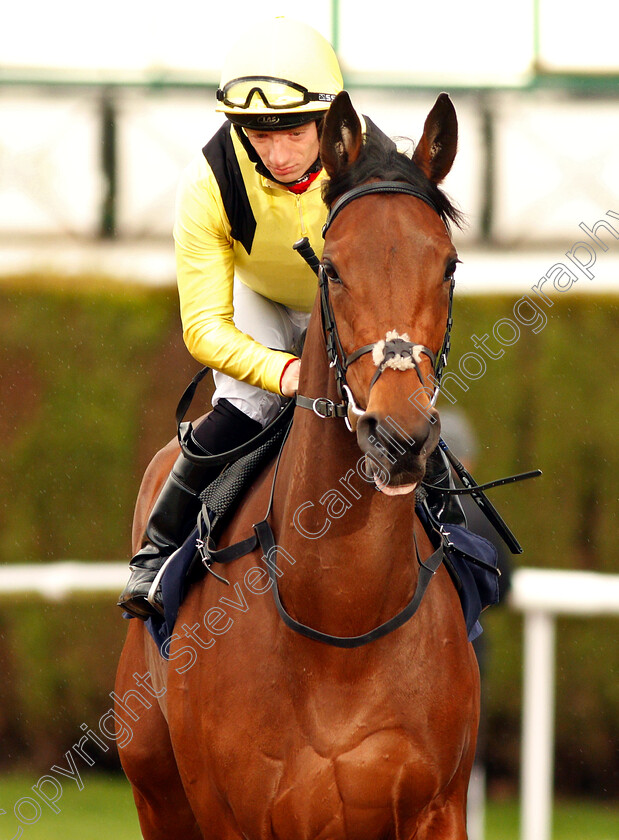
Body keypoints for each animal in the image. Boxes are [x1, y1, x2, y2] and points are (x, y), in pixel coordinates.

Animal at [115, 92, 480, 840]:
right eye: (331, 267)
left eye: (449, 265)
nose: (397, 436)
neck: (340, 618)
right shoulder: (229, 814)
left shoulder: (437, 809)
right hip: (156, 792)